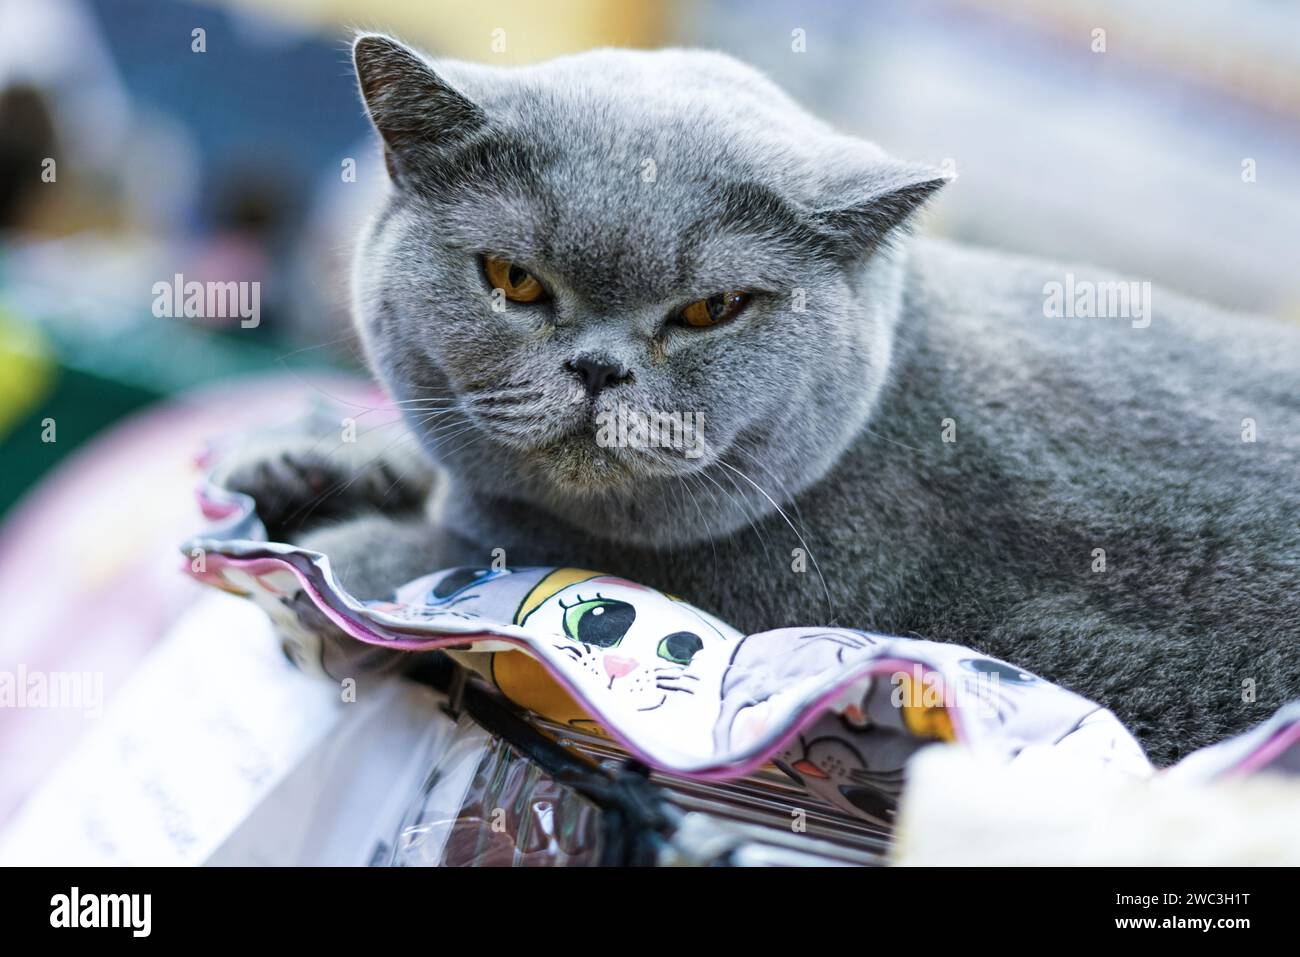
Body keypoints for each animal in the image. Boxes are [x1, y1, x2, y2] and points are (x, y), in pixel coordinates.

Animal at [226, 37, 1300, 764]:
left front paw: (335, 554)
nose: (598, 368)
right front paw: (297, 455)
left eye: (710, 309)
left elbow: (424, 567)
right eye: (515, 281)